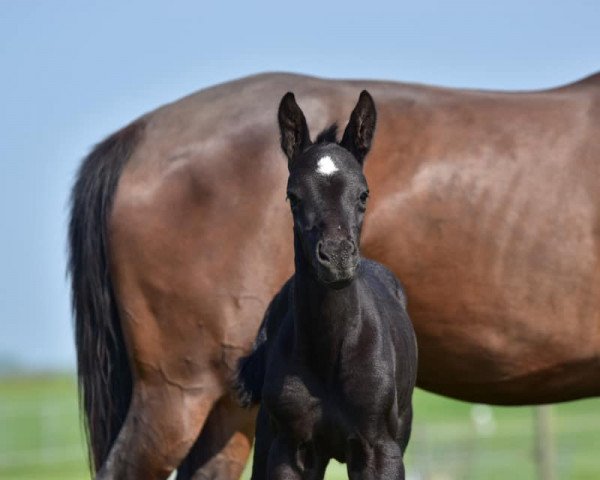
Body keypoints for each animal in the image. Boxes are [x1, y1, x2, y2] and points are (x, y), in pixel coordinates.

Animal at [236, 91, 418, 480]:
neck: (330, 351)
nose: (336, 258)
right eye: (293, 196)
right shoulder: (290, 451)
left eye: (363, 194)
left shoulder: (380, 450)